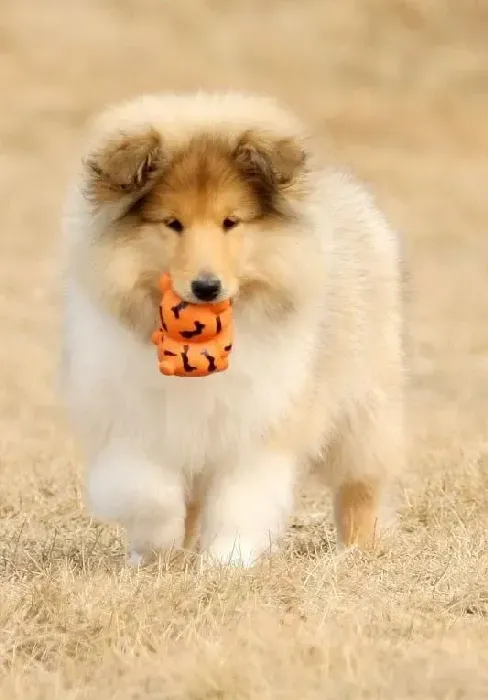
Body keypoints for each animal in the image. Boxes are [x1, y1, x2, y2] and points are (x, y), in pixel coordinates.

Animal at [61, 90, 404, 568]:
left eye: (231, 221)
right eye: (172, 222)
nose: (207, 287)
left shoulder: (256, 424)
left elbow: (240, 500)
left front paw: (228, 560)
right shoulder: (133, 420)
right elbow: (149, 490)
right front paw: (156, 547)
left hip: (362, 407)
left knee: (361, 484)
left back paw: (358, 548)